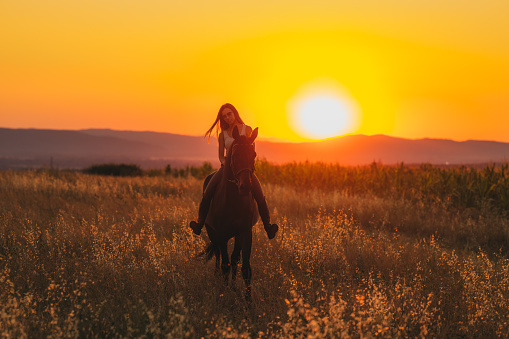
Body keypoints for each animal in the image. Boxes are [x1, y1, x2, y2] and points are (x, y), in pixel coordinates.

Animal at [201, 126, 258, 302]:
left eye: (253, 154)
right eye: (235, 154)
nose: (246, 186)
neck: (233, 200)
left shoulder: (244, 232)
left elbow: (243, 266)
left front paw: (247, 300)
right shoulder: (221, 234)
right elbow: (225, 263)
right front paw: (224, 292)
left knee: (232, 259)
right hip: (212, 232)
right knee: (219, 255)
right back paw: (217, 278)